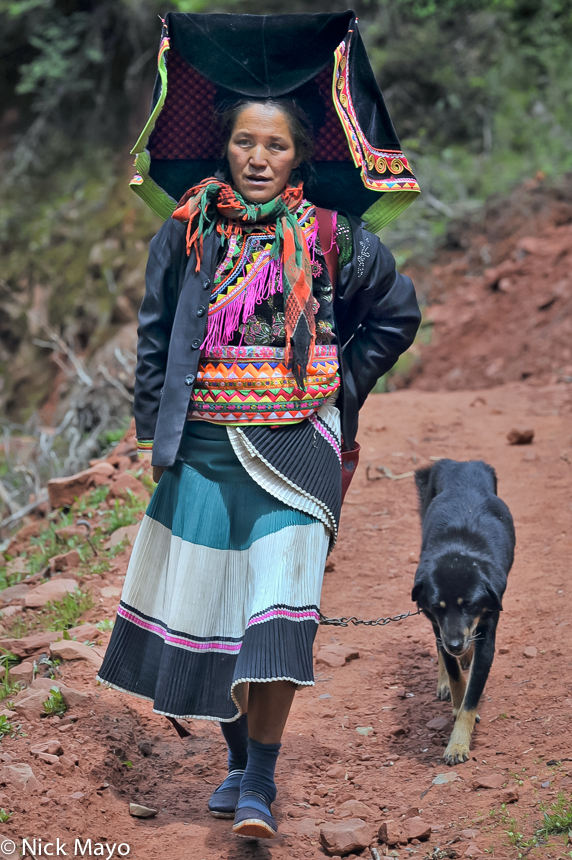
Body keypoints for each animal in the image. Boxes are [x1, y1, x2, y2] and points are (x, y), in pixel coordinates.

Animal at [412, 460, 512, 764]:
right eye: (438, 606)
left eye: (470, 605)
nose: (456, 644)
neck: (459, 551)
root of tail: (461, 464)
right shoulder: (438, 624)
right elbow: (456, 675)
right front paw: (455, 702)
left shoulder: (487, 627)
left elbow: (472, 695)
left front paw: (458, 744)